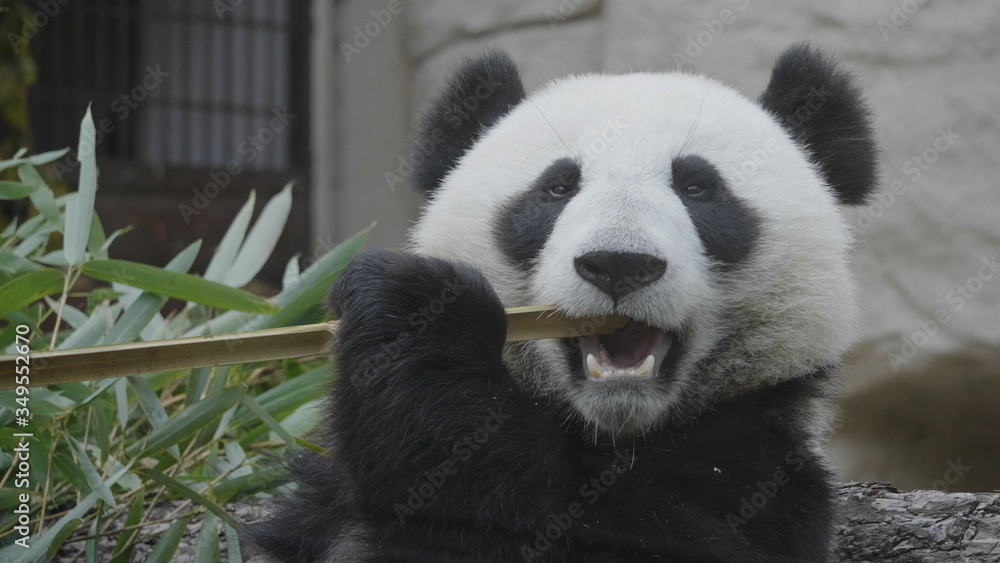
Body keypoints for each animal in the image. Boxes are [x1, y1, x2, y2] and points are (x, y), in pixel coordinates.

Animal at [248, 43, 878, 562]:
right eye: (557, 187)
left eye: (699, 187)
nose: (618, 263)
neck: (613, 433)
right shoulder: (321, 509)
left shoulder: (762, 484)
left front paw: (420, 309)